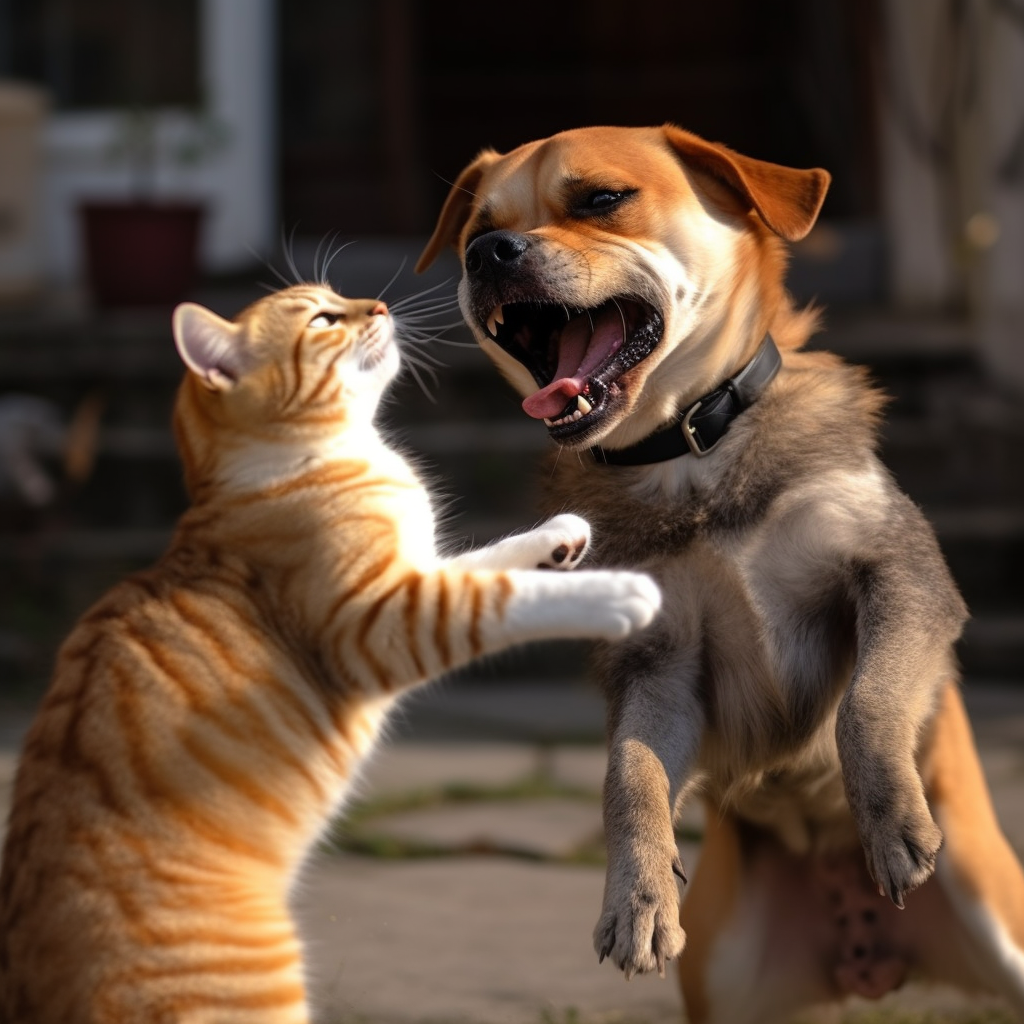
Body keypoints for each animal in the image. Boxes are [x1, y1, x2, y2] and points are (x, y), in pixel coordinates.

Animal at [0, 282, 659, 1024]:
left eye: (340, 297)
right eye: (322, 319)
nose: (377, 307)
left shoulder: (418, 571)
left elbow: (488, 563)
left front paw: (561, 537)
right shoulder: (384, 618)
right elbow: (498, 595)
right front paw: (619, 592)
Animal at [415, 125, 1024, 1024]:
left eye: (602, 199)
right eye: (474, 231)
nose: (488, 253)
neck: (691, 459)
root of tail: (868, 958)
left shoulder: (899, 574)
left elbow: (867, 704)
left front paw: (889, 821)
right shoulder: (660, 665)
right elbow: (628, 775)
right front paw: (636, 897)